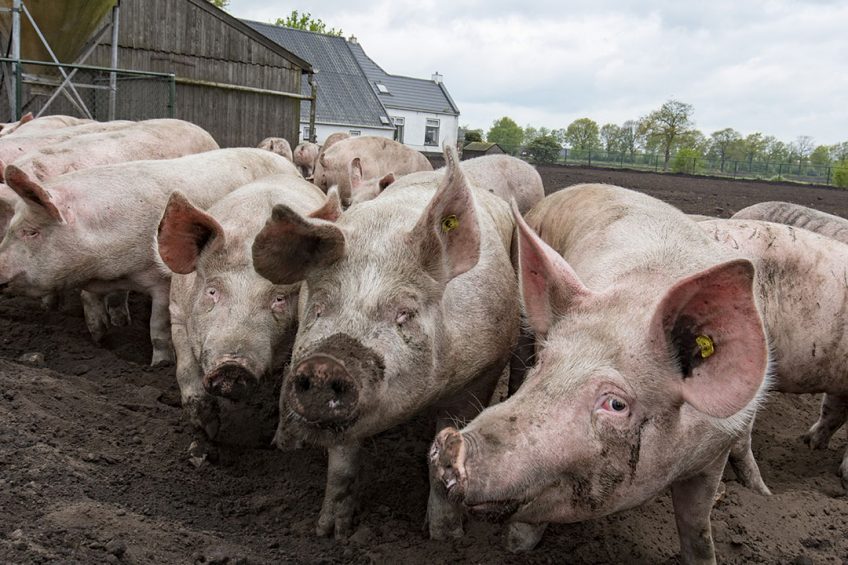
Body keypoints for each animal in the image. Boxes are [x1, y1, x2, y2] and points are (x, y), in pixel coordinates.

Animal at [0, 148, 300, 364]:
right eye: (11, 227)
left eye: (31, 232)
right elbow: (90, 302)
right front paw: (100, 339)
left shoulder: (162, 281)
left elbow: (157, 324)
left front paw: (160, 364)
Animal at [159, 174, 328, 442]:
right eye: (212, 291)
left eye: (279, 299)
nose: (231, 366)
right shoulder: (176, 310)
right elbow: (185, 368)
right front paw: (208, 430)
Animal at [248, 145, 520, 536]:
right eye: (319, 306)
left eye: (404, 313)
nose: (325, 364)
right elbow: (342, 463)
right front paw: (332, 532)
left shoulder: (483, 372)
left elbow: (447, 459)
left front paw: (444, 537)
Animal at [428, 183, 772, 560]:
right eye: (544, 364)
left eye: (616, 404)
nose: (450, 442)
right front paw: (516, 548)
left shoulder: (716, 451)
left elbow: (696, 527)